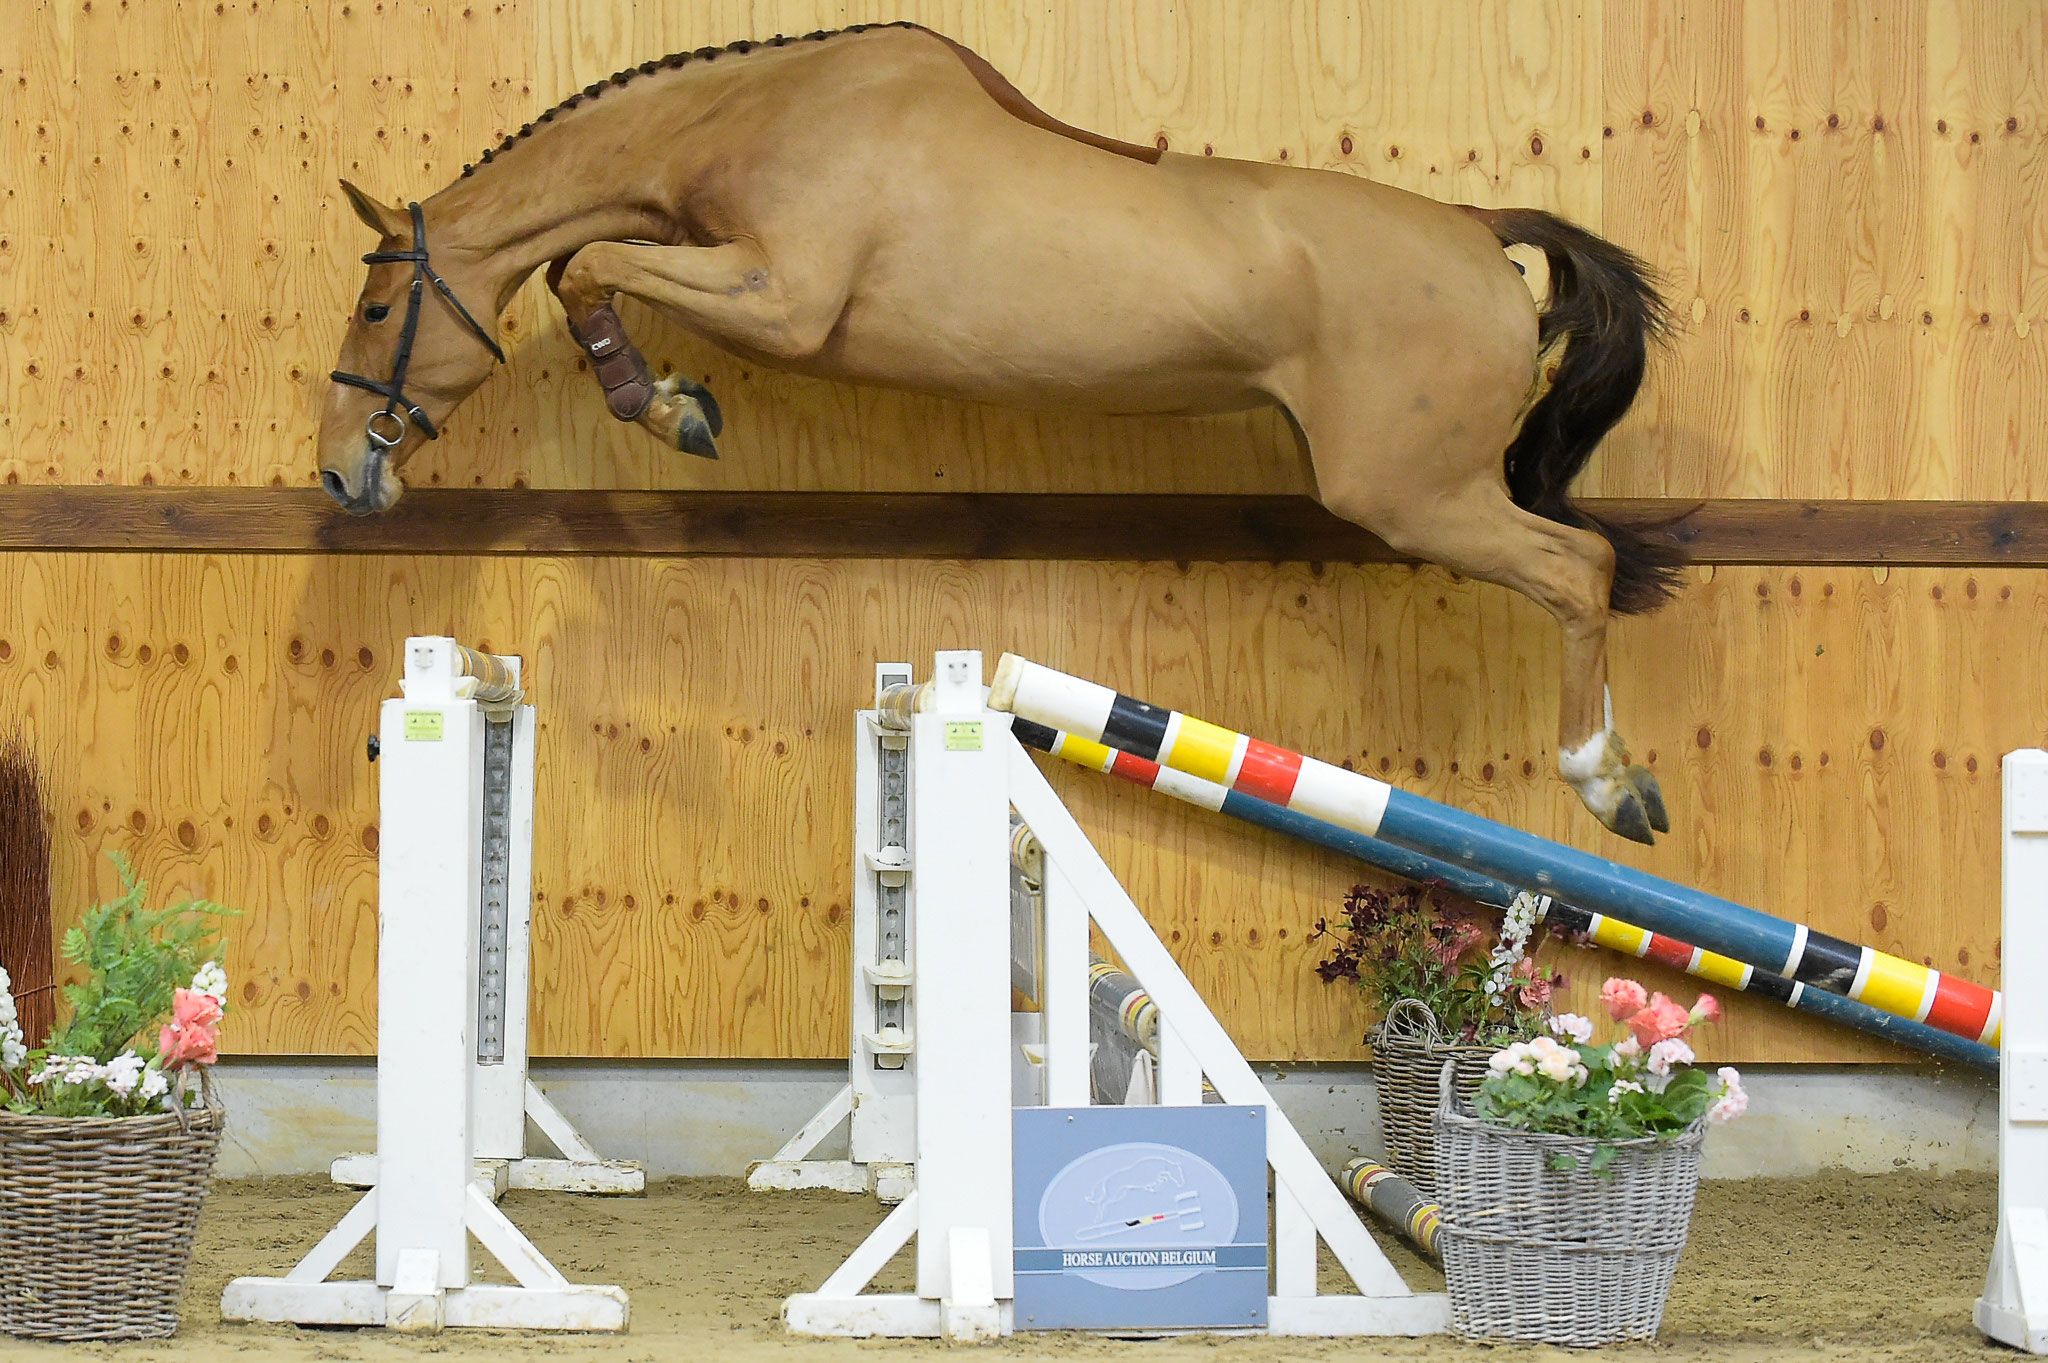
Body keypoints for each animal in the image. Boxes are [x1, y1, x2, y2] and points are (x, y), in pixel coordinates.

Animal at [318, 22, 1682, 844]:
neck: (758, 115)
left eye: (377, 307)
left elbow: (588, 265)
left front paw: (669, 407)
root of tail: (1478, 233)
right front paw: (668, 399)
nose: (340, 473)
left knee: (1580, 567)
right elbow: (583, 267)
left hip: (1411, 494)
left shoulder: (781, 298)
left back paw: (1606, 780)